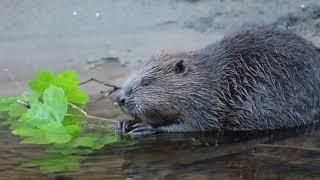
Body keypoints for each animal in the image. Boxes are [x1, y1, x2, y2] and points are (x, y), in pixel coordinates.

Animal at [115, 26, 320, 136]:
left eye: (146, 82)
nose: (121, 99)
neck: (208, 79)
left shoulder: (207, 104)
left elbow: (195, 126)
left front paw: (145, 127)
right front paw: (123, 124)